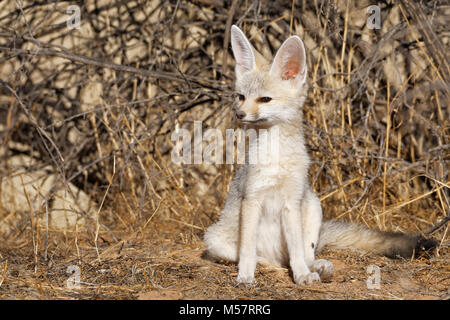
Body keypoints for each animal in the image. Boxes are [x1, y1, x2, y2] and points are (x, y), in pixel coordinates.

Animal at [204, 25, 436, 284]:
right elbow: (247, 250)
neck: (277, 159)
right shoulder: (252, 198)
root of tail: (276, 255)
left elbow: (297, 251)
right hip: (213, 238)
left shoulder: (292, 201)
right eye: (241, 97)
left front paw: (302, 275)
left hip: (313, 205)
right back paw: (267, 265)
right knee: (263, 258)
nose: (239, 115)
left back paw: (315, 267)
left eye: (264, 99)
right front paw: (245, 275)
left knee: (303, 254)